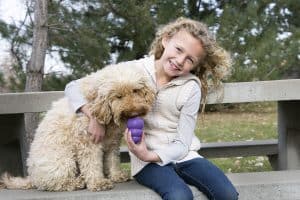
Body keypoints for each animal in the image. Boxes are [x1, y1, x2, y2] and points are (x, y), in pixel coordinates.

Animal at [0, 63, 155, 191]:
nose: (134, 112)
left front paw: (116, 175)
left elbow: (112, 159)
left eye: (135, 90)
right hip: (63, 160)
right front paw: (98, 182)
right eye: (118, 96)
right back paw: (76, 182)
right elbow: (92, 163)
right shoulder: (88, 142)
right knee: (53, 183)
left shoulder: (113, 142)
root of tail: (32, 177)